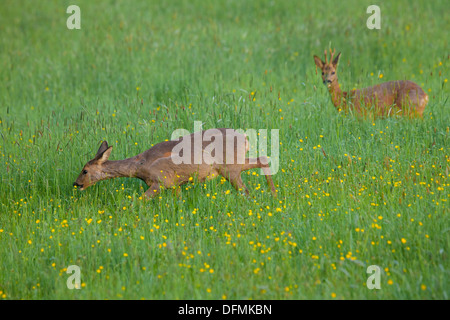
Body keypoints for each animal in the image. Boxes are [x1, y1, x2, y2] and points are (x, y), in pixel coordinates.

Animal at [73, 129, 278, 199]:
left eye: (84, 170)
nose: (76, 184)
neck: (140, 166)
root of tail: (245, 138)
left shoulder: (160, 181)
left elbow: (137, 201)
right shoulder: (175, 185)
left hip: (230, 168)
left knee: (245, 190)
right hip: (235, 165)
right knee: (263, 159)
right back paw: (274, 195)